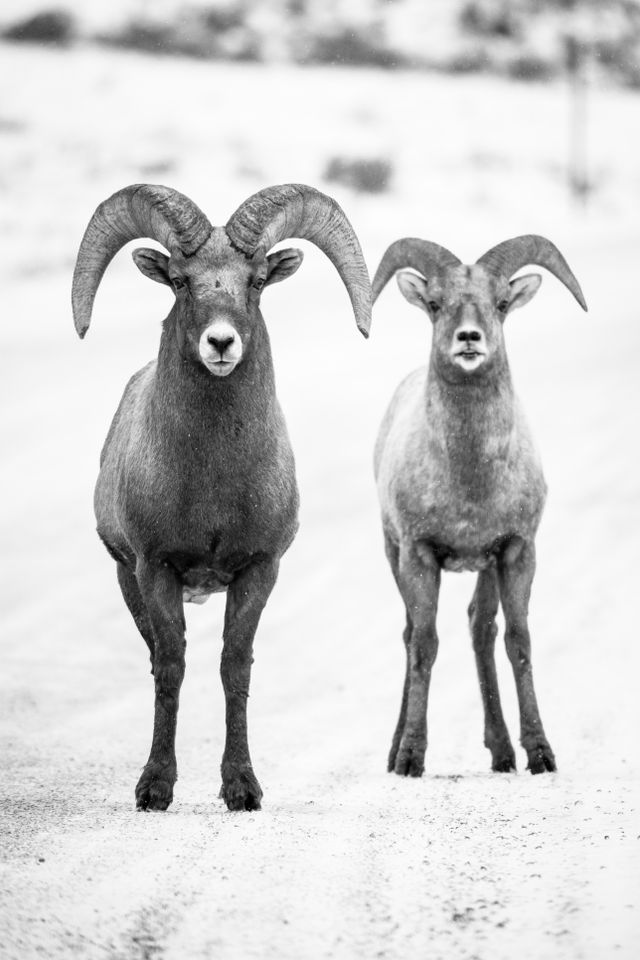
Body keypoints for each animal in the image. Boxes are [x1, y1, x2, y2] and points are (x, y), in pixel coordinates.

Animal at [71, 182, 370, 808]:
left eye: (255, 280)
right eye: (180, 280)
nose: (221, 343)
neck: (211, 483)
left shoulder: (259, 569)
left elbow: (236, 667)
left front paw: (242, 788)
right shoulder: (155, 568)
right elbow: (171, 667)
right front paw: (156, 788)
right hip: (126, 579)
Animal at [372, 236, 588, 776]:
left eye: (502, 303)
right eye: (435, 304)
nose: (469, 339)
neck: (470, 478)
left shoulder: (515, 551)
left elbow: (518, 642)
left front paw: (541, 754)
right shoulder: (419, 555)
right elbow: (424, 644)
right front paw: (411, 758)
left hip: (484, 566)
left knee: (480, 630)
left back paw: (503, 752)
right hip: (393, 555)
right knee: (410, 634)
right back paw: (395, 750)